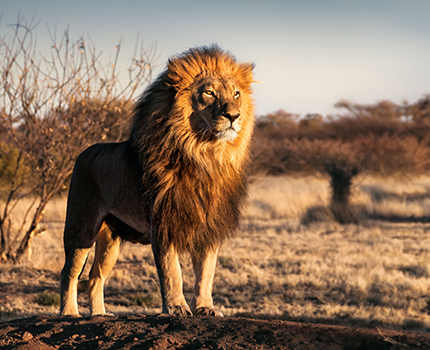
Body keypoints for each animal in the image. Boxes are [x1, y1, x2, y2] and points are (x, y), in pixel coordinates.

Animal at [60, 44, 255, 318]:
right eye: (209, 93)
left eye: (236, 94)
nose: (234, 116)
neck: (205, 155)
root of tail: (84, 152)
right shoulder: (163, 222)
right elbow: (172, 271)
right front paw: (176, 308)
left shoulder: (209, 226)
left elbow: (206, 272)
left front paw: (205, 308)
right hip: (81, 228)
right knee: (69, 272)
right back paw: (69, 313)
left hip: (110, 240)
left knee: (96, 277)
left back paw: (99, 315)